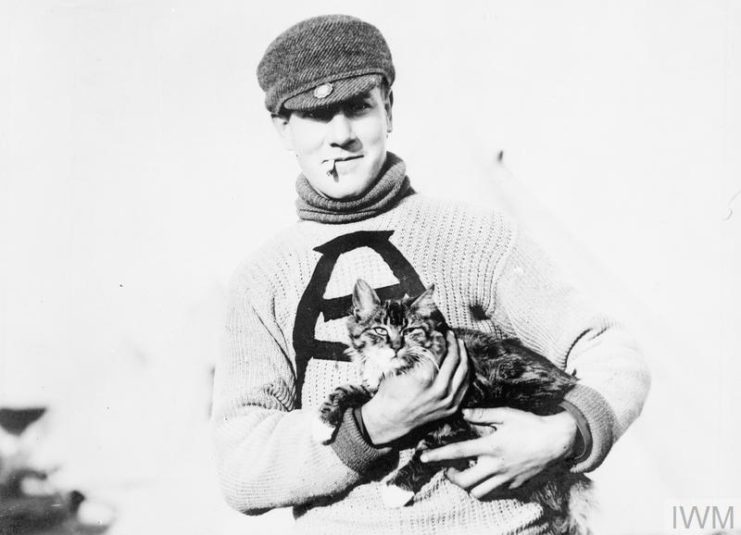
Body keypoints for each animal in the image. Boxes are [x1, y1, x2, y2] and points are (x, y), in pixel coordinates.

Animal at [316, 280, 592, 535]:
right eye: (380, 330)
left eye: (410, 330)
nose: (395, 346)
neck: (397, 371)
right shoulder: (378, 392)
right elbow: (347, 390)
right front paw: (323, 422)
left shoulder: (461, 410)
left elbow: (427, 451)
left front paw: (397, 488)